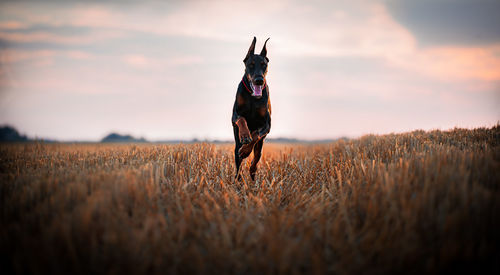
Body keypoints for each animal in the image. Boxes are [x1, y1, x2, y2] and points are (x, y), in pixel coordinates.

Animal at [232, 37, 272, 181]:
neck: (252, 97)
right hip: (236, 146)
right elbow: (242, 119)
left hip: (260, 148)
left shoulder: (267, 125)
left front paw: (246, 149)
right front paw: (245, 135)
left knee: (254, 162)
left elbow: (255, 135)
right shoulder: (234, 115)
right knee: (238, 166)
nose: (259, 80)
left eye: (264, 64)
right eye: (251, 64)